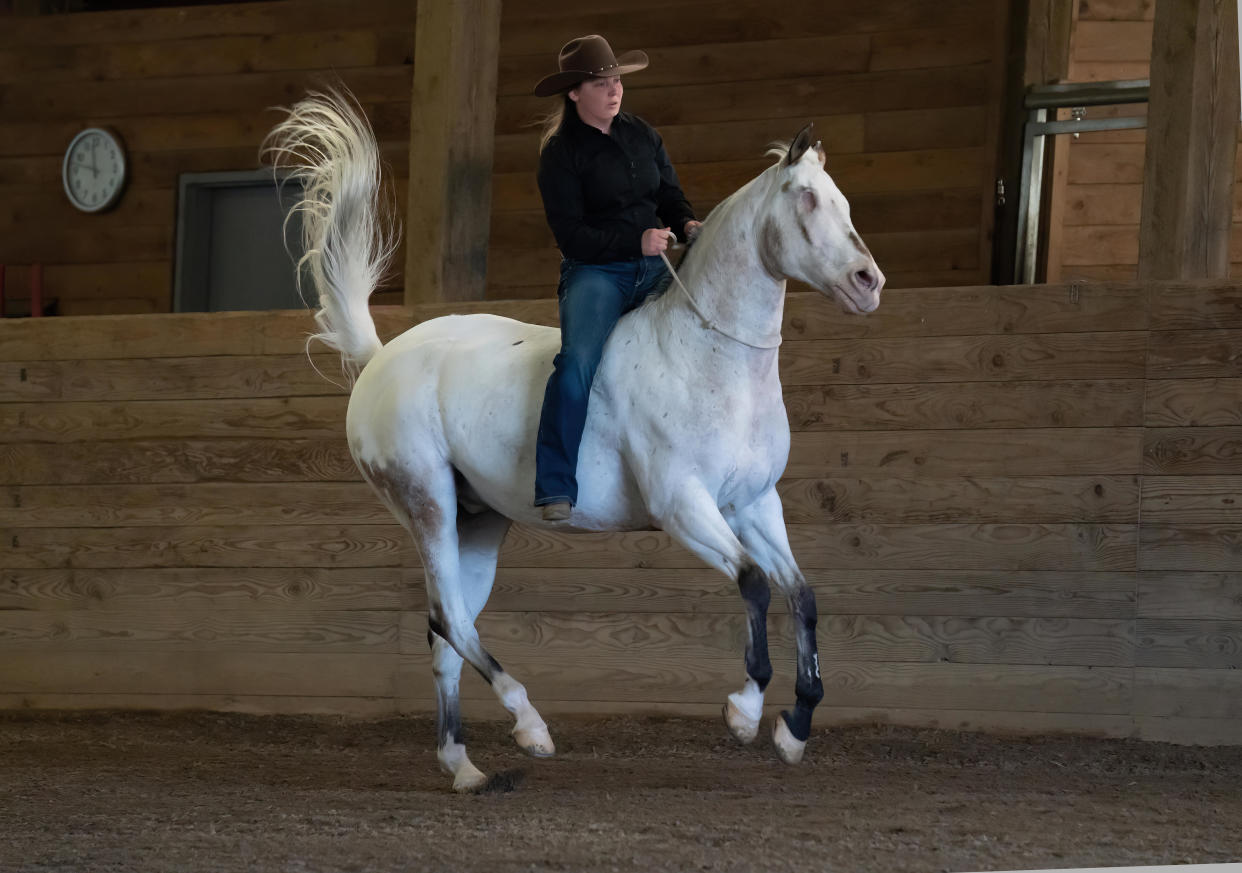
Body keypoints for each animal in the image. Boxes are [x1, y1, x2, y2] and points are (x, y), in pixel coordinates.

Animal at [264, 90, 884, 794]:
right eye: (805, 198)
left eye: (842, 200)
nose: (868, 282)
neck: (706, 356)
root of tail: (380, 358)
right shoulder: (684, 506)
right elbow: (754, 583)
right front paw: (746, 711)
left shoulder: (753, 504)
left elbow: (802, 596)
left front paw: (794, 730)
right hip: (426, 502)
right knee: (449, 620)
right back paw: (531, 727)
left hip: (479, 521)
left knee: (447, 633)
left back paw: (465, 768)